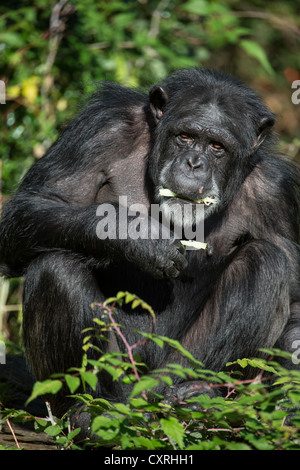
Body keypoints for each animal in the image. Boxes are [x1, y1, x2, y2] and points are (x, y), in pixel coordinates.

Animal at [0, 68, 300, 424]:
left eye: (217, 146)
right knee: (56, 268)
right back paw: (87, 411)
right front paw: (139, 236)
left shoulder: (276, 195)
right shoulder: (100, 129)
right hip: (121, 377)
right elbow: (37, 204)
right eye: (185, 136)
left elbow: (294, 297)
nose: (194, 163)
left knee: (265, 262)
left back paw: (195, 397)